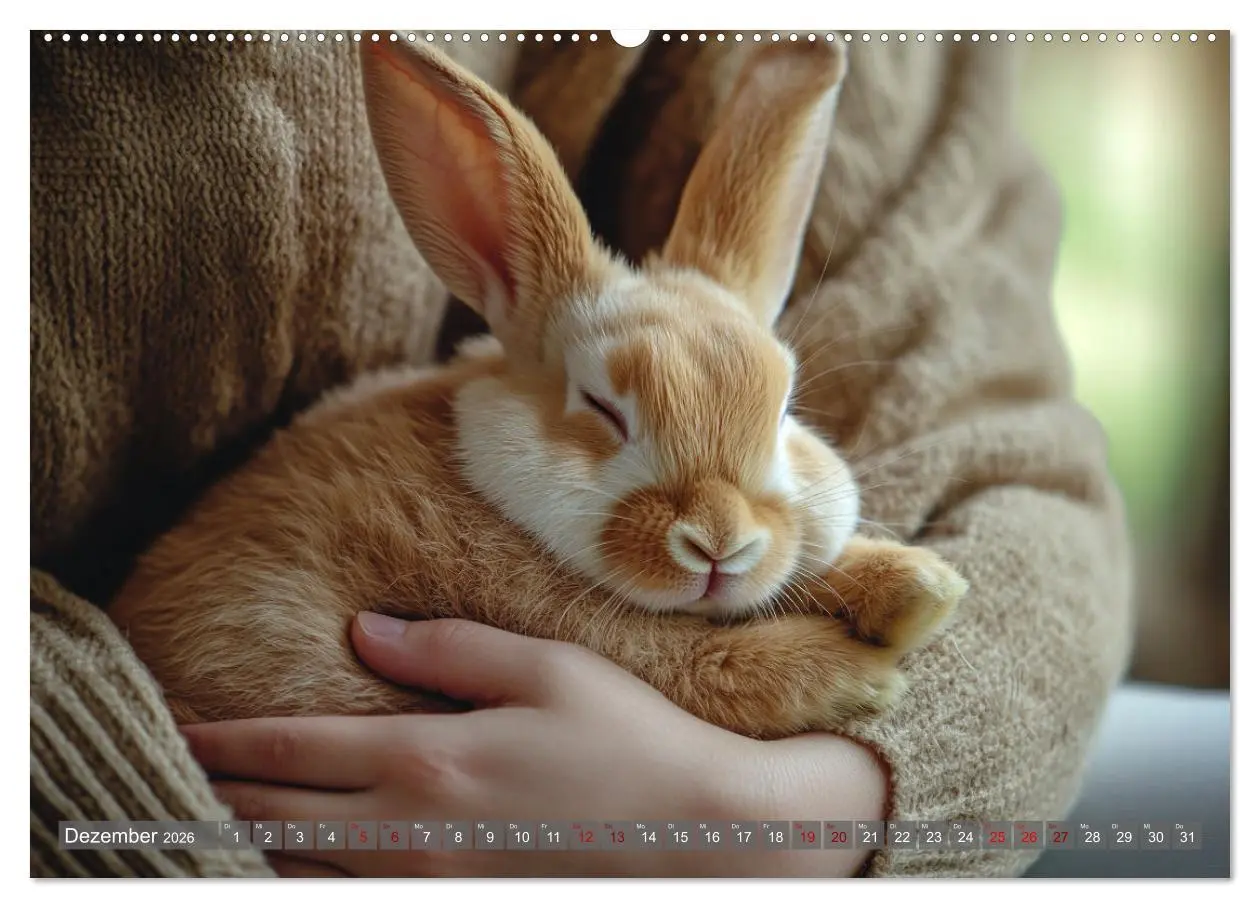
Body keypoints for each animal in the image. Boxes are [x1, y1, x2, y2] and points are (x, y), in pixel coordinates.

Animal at [107, 38, 968, 741]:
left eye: (784, 408)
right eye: (602, 408)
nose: (722, 544)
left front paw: (918, 588)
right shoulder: (561, 623)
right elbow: (699, 664)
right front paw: (858, 674)